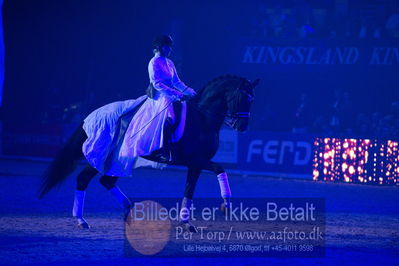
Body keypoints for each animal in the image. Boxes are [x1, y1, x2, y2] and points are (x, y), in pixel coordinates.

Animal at [38, 74, 260, 231]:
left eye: (252, 99)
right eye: (242, 97)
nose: (242, 126)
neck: (202, 117)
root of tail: (92, 115)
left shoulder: (195, 164)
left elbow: (189, 190)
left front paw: (186, 223)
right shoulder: (196, 159)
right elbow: (220, 169)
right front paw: (226, 205)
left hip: (119, 159)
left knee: (106, 181)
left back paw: (129, 210)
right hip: (101, 156)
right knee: (84, 179)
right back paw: (82, 220)